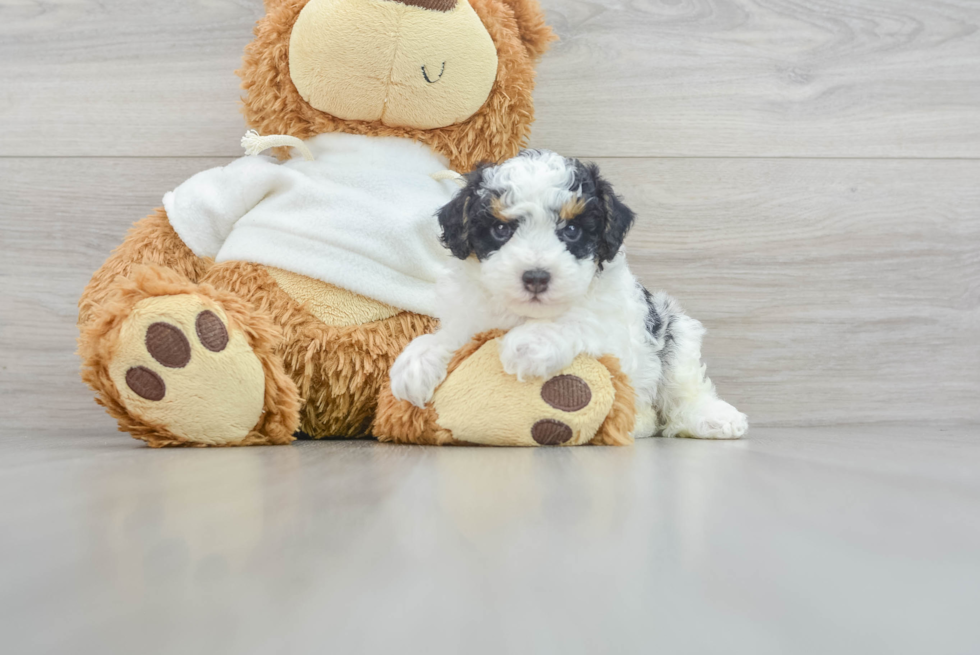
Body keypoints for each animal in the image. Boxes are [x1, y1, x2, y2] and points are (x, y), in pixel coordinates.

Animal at [386, 151, 748, 438]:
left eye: (571, 230)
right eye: (501, 229)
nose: (535, 277)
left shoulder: (615, 330)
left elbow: (580, 321)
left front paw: (530, 343)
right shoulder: (471, 317)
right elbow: (453, 337)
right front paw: (416, 363)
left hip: (675, 330)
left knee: (685, 388)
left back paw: (712, 419)